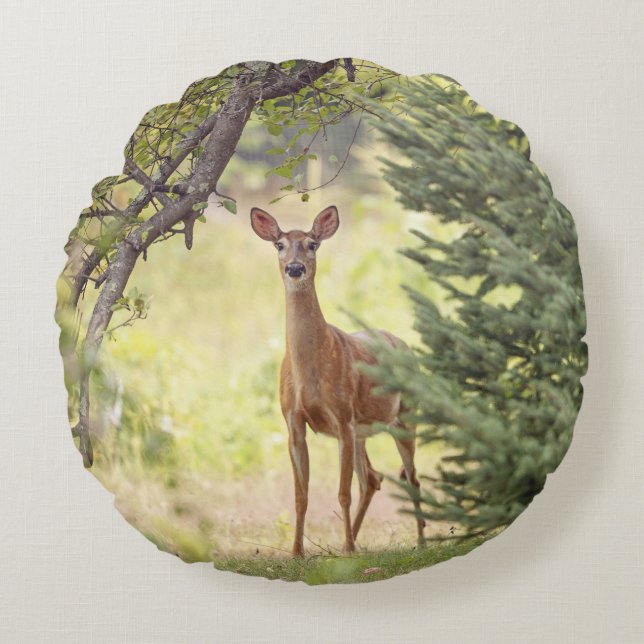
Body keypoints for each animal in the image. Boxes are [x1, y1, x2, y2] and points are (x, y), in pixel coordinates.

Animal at [250, 205, 426, 556]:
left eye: (312, 244)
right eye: (279, 244)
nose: (295, 268)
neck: (310, 370)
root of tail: (403, 344)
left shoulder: (343, 416)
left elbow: (342, 492)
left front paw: (343, 548)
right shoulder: (293, 421)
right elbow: (301, 495)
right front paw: (297, 551)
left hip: (404, 416)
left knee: (411, 478)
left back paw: (419, 541)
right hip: (363, 431)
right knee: (372, 478)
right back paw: (355, 541)